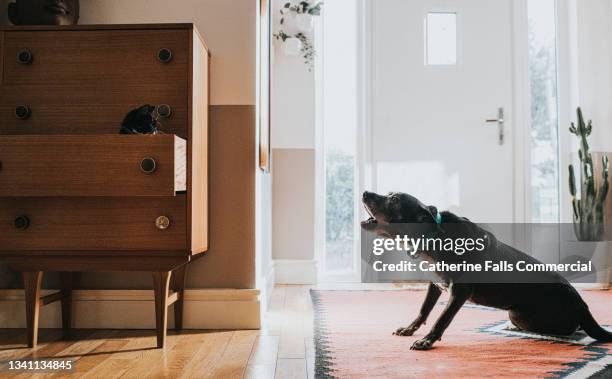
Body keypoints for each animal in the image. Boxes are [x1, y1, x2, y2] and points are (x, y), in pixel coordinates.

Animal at [358, 191, 612, 352]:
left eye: (394, 199)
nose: (365, 192)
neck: (433, 236)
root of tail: (583, 307)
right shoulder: (435, 284)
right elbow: (423, 310)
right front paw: (410, 329)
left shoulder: (459, 292)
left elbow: (441, 318)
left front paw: (427, 341)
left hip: (519, 313)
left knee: (569, 329)